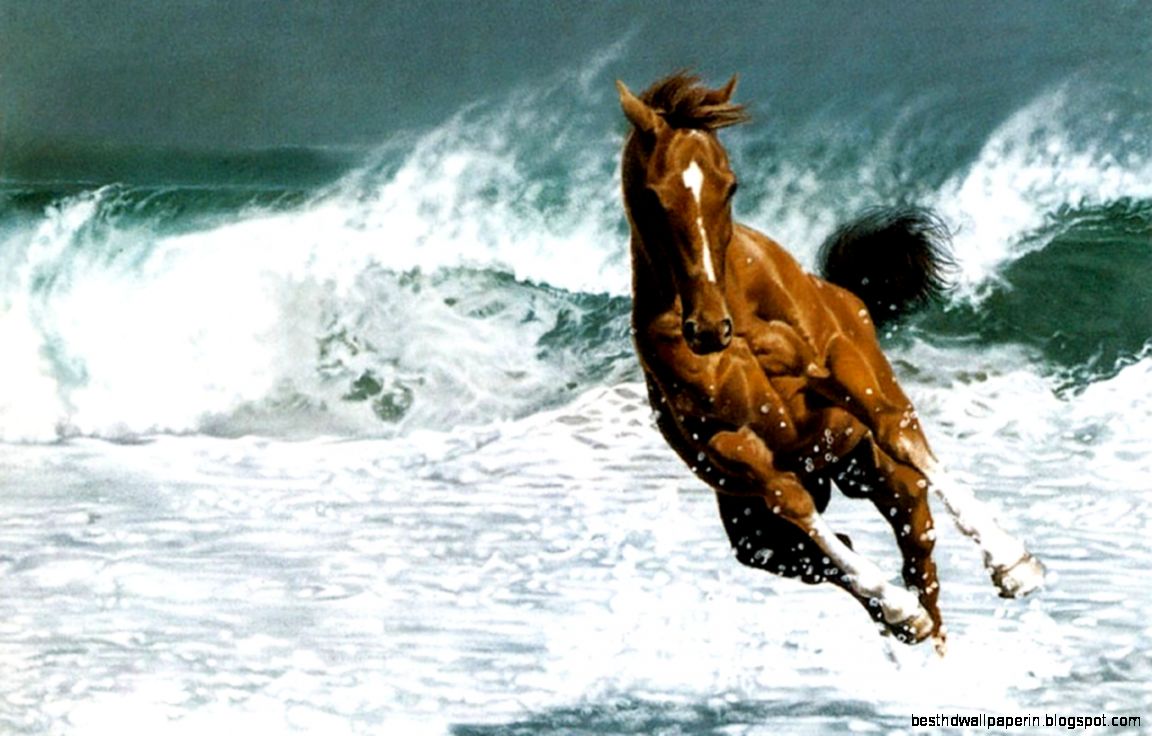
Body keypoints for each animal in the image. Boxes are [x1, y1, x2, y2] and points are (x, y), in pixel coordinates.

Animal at [617, 72, 1044, 651]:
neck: (737, 306)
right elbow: (794, 505)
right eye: (654, 197)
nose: (708, 329)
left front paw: (1013, 564)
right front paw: (898, 610)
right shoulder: (730, 445)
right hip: (754, 530)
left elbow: (894, 429)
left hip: (879, 474)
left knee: (918, 548)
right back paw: (902, 618)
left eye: (729, 185)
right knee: (828, 552)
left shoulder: (836, 365)